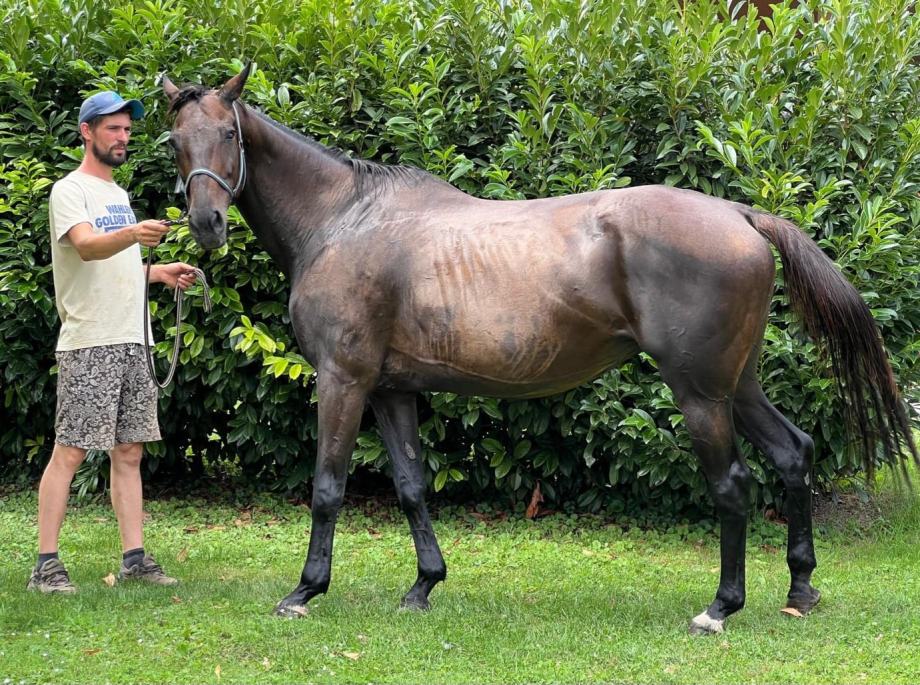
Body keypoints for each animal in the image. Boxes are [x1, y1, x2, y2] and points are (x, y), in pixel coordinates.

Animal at [162, 67, 916, 632]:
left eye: (228, 133)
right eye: (175, 139)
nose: (206, 222)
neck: (344, 219)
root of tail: (738, 213)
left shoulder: (343, 379)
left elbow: (327, 487)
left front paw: (304, 591)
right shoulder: (391, 389)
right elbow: (410, 486)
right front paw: (423, 586)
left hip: (701, 393)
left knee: (732, 483)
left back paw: (720, 607)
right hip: (740, 384)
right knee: (793, 453)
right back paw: (800, 588)